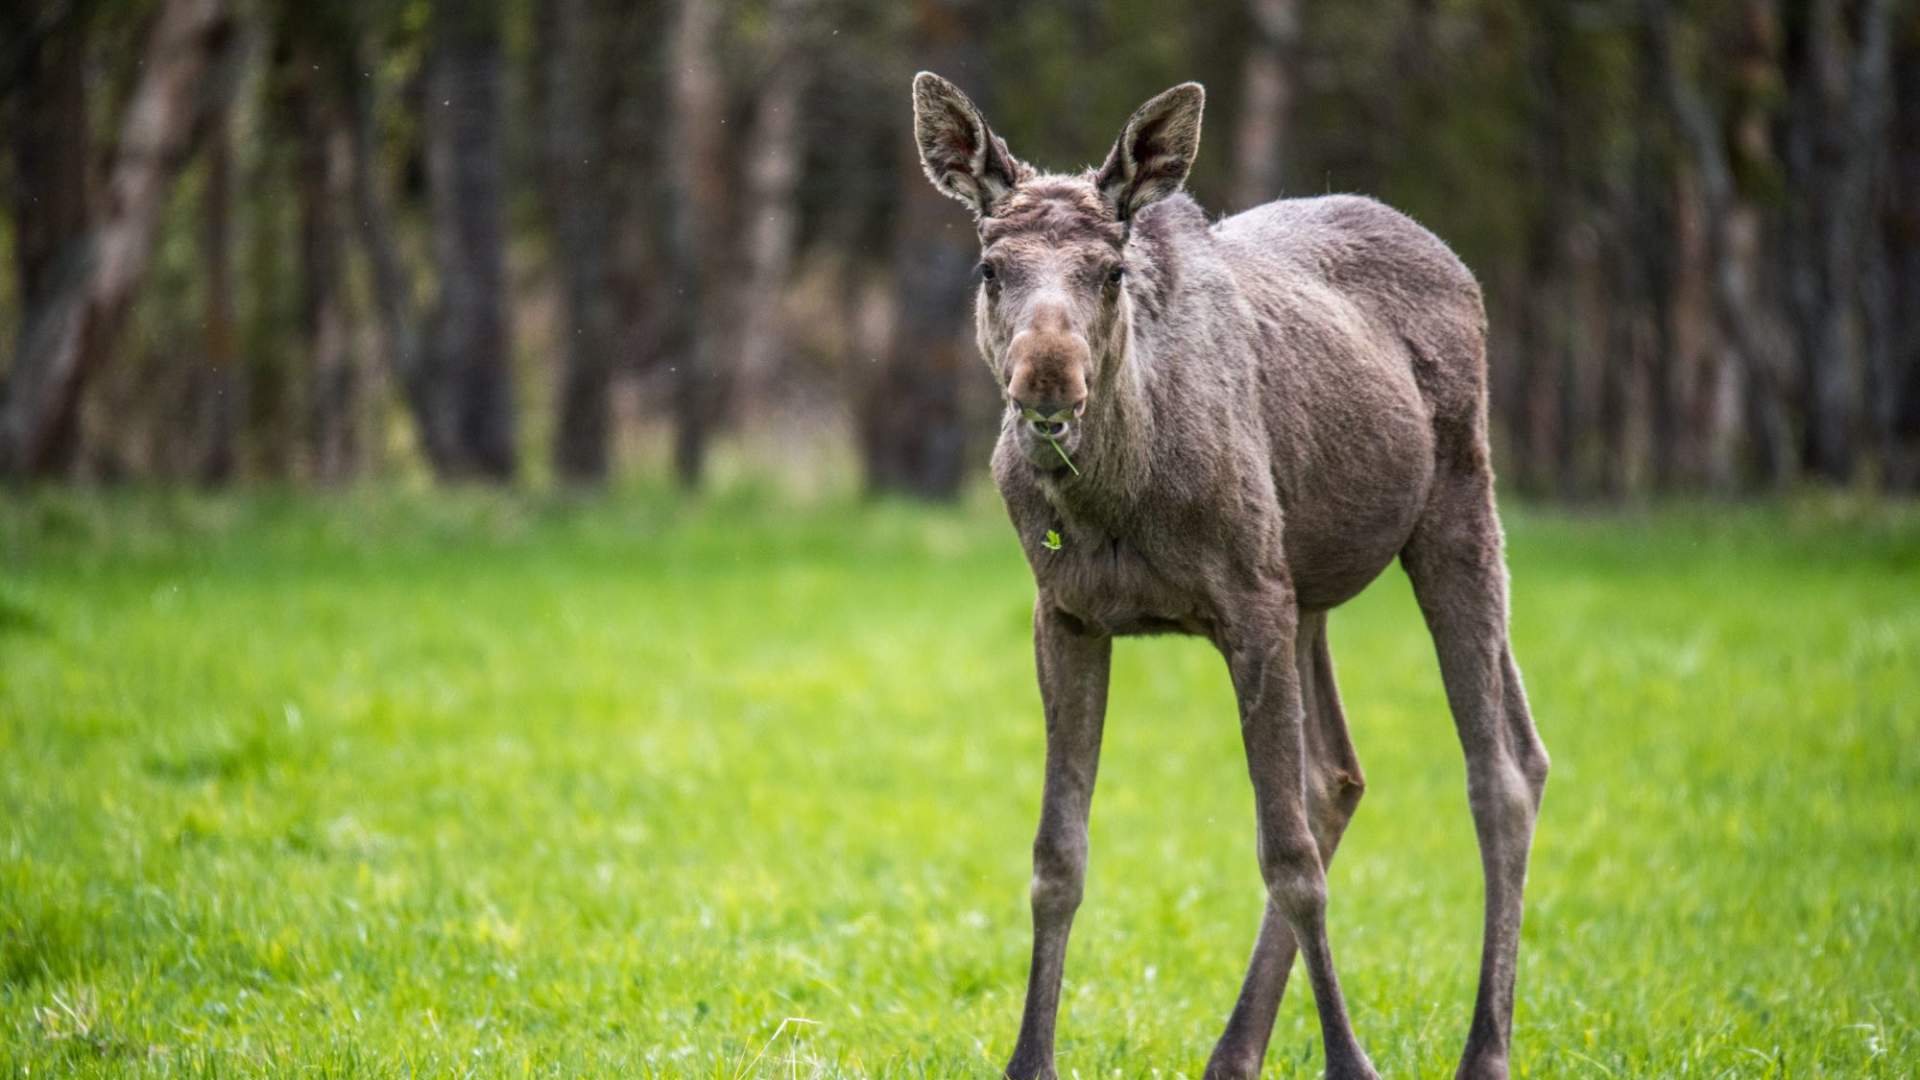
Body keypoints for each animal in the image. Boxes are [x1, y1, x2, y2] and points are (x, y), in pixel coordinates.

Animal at [908, 73, 1551, 1080]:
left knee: (1501, 772)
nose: (1046, 380)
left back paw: (1485, 1048)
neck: (1117, 497)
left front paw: (1351, 1061)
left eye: (1111, 269)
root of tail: (1456, 264)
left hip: (1457, 507)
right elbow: (1057, 856)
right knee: (1345, 773)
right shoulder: (1068, 615)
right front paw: (1029, 1059)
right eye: (989, 268)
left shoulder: (1250, 604)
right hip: (1311, 591)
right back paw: (1235, 1050)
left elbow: (1287, 857)